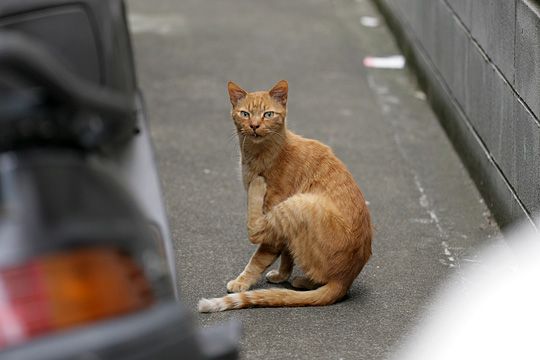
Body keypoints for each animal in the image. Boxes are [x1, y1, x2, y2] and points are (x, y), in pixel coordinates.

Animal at [198, 80, 372, 310]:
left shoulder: (275, 217)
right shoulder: (283, 234)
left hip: (300, 203)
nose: (254, 125)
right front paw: (282, 276)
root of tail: (344, 281)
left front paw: (241, 282)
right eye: (245, 114)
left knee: (254, 231)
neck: (257, 156)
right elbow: (286, 255)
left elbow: (258, 259)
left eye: (268, 114)